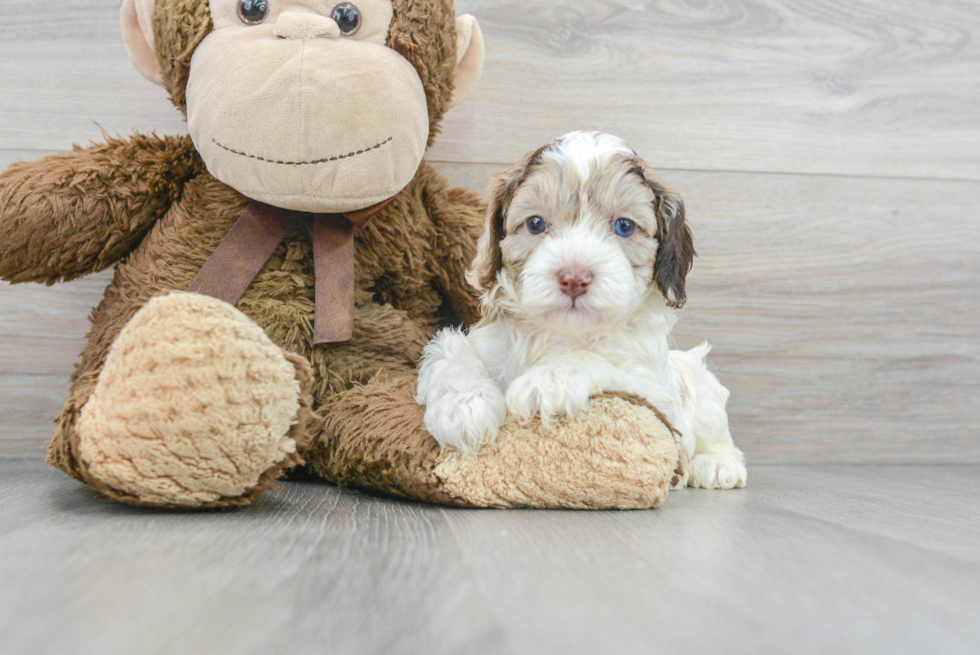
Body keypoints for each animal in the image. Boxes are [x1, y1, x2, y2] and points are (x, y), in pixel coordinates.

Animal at [414, 133, 744, 490]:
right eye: (535, 223)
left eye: (624, 226)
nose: (574, 278)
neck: (562, 332)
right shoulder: (478, 342)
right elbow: (452, 358)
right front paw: (464, 407)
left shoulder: (657, 395)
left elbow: (595, 362)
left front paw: (549, 378)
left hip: (701, 384)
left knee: (716, 433)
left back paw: (718, 464)